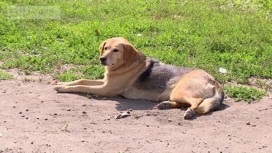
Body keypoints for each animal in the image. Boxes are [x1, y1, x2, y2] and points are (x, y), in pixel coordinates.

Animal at [54, 37, 224, 119]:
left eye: (116, 50)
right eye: (106, 47)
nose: (102, 59)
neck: (123, 65)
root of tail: (214, 81)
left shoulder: (106, 89)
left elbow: (81, 86)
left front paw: (62, 87)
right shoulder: (104, 82)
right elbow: (81, 80)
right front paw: (62, 83)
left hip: (180, 91)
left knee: (197, 102)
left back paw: (189, 112)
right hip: (174, 94)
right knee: (185, 102)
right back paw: (166, 105)